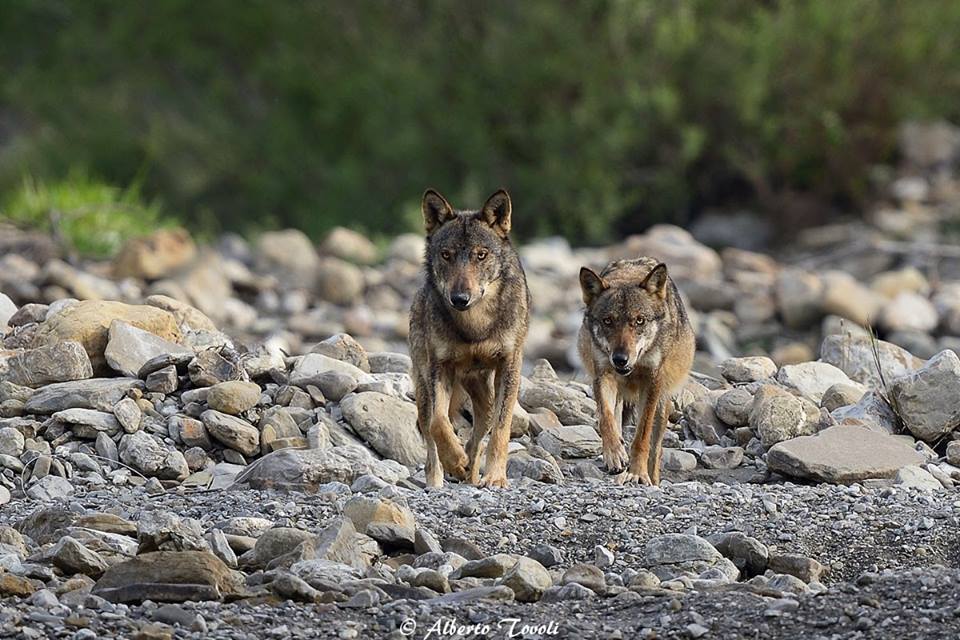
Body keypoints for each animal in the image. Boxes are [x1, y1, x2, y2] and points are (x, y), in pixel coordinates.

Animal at [406, 188, 532, 488]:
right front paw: (454, 461)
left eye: (481, 255)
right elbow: (438, 424)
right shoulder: (440, 368)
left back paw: (472, 476)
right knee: (430, 439)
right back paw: (439, 480)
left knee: (479, 434)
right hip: (424, 388)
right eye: (446, 254)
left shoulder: (510, 366)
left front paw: (495, 477)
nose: (460, 298)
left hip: (484, 396)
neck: (475, 325)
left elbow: (501, 429)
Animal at [576, 255, 688, 484]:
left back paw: (652, 480)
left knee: (656, 450)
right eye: (608, 321)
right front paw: (614, 455)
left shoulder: (652, 381)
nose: (620, 359)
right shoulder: (602, 375)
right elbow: (606, 419)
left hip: (662, 405)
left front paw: (637, 473)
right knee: (616, 420)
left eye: (639, 321)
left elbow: (642, 436)